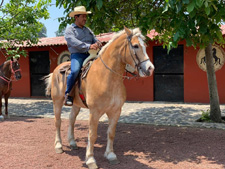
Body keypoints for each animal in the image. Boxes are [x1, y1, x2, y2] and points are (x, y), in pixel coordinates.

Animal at [44, 27, 155, 168]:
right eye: (135, 46)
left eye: (145, 46)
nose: (150, 68)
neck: (107, 77)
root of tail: (56, 70)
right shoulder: (94, 112)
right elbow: (92, 135)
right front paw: (90, 159)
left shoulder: (116, 111)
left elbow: (111, 133)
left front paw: (111, 155)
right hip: (57, 102)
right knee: (57, 122)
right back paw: (58, 146)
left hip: (76, 104)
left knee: (71, 119)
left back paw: (72, 142)